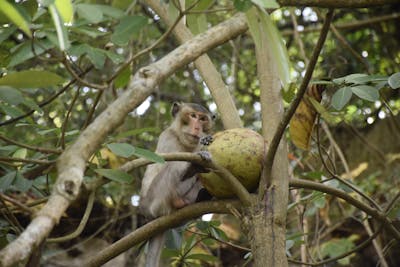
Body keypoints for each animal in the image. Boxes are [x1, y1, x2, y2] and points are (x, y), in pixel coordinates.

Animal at [140, 102, 216, 267]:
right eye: (193, 116)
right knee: (173, 165)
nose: (197, 127)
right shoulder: (167, 137)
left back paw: (201, 197)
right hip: (156, 199)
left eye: (202, 119)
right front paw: (203, 145)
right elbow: (169, 161)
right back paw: (192, 168)